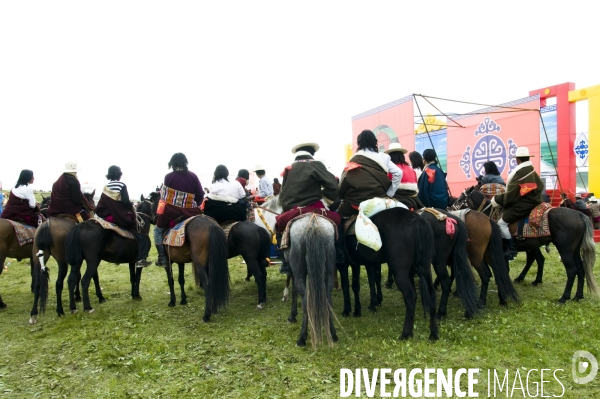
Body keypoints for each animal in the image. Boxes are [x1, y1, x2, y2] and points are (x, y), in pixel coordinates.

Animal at [282, 214, 338, 348]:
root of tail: (313, 224)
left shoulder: (293, 272)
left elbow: (294, 292)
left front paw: (292, 315)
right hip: (329, 270)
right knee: (328, 300)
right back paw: (333, 334)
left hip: (299, 272)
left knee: (306, 302)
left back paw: (301, 338)